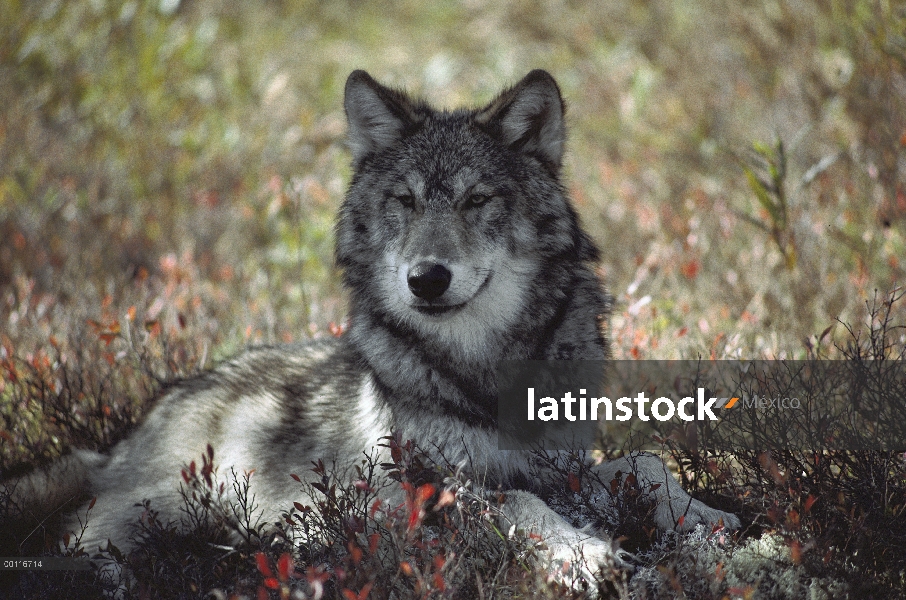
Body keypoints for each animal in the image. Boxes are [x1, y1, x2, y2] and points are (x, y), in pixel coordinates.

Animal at [3, 69, 736, 592]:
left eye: (476, 200)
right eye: (404, 201)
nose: (426, 279)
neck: (484, 371)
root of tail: (128, 436)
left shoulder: (568, 464)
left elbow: (645, 464)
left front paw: (707, 521)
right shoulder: (427, 490)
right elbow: (521, 505)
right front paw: (585, 555)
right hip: (177, 506)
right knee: (80, 539)